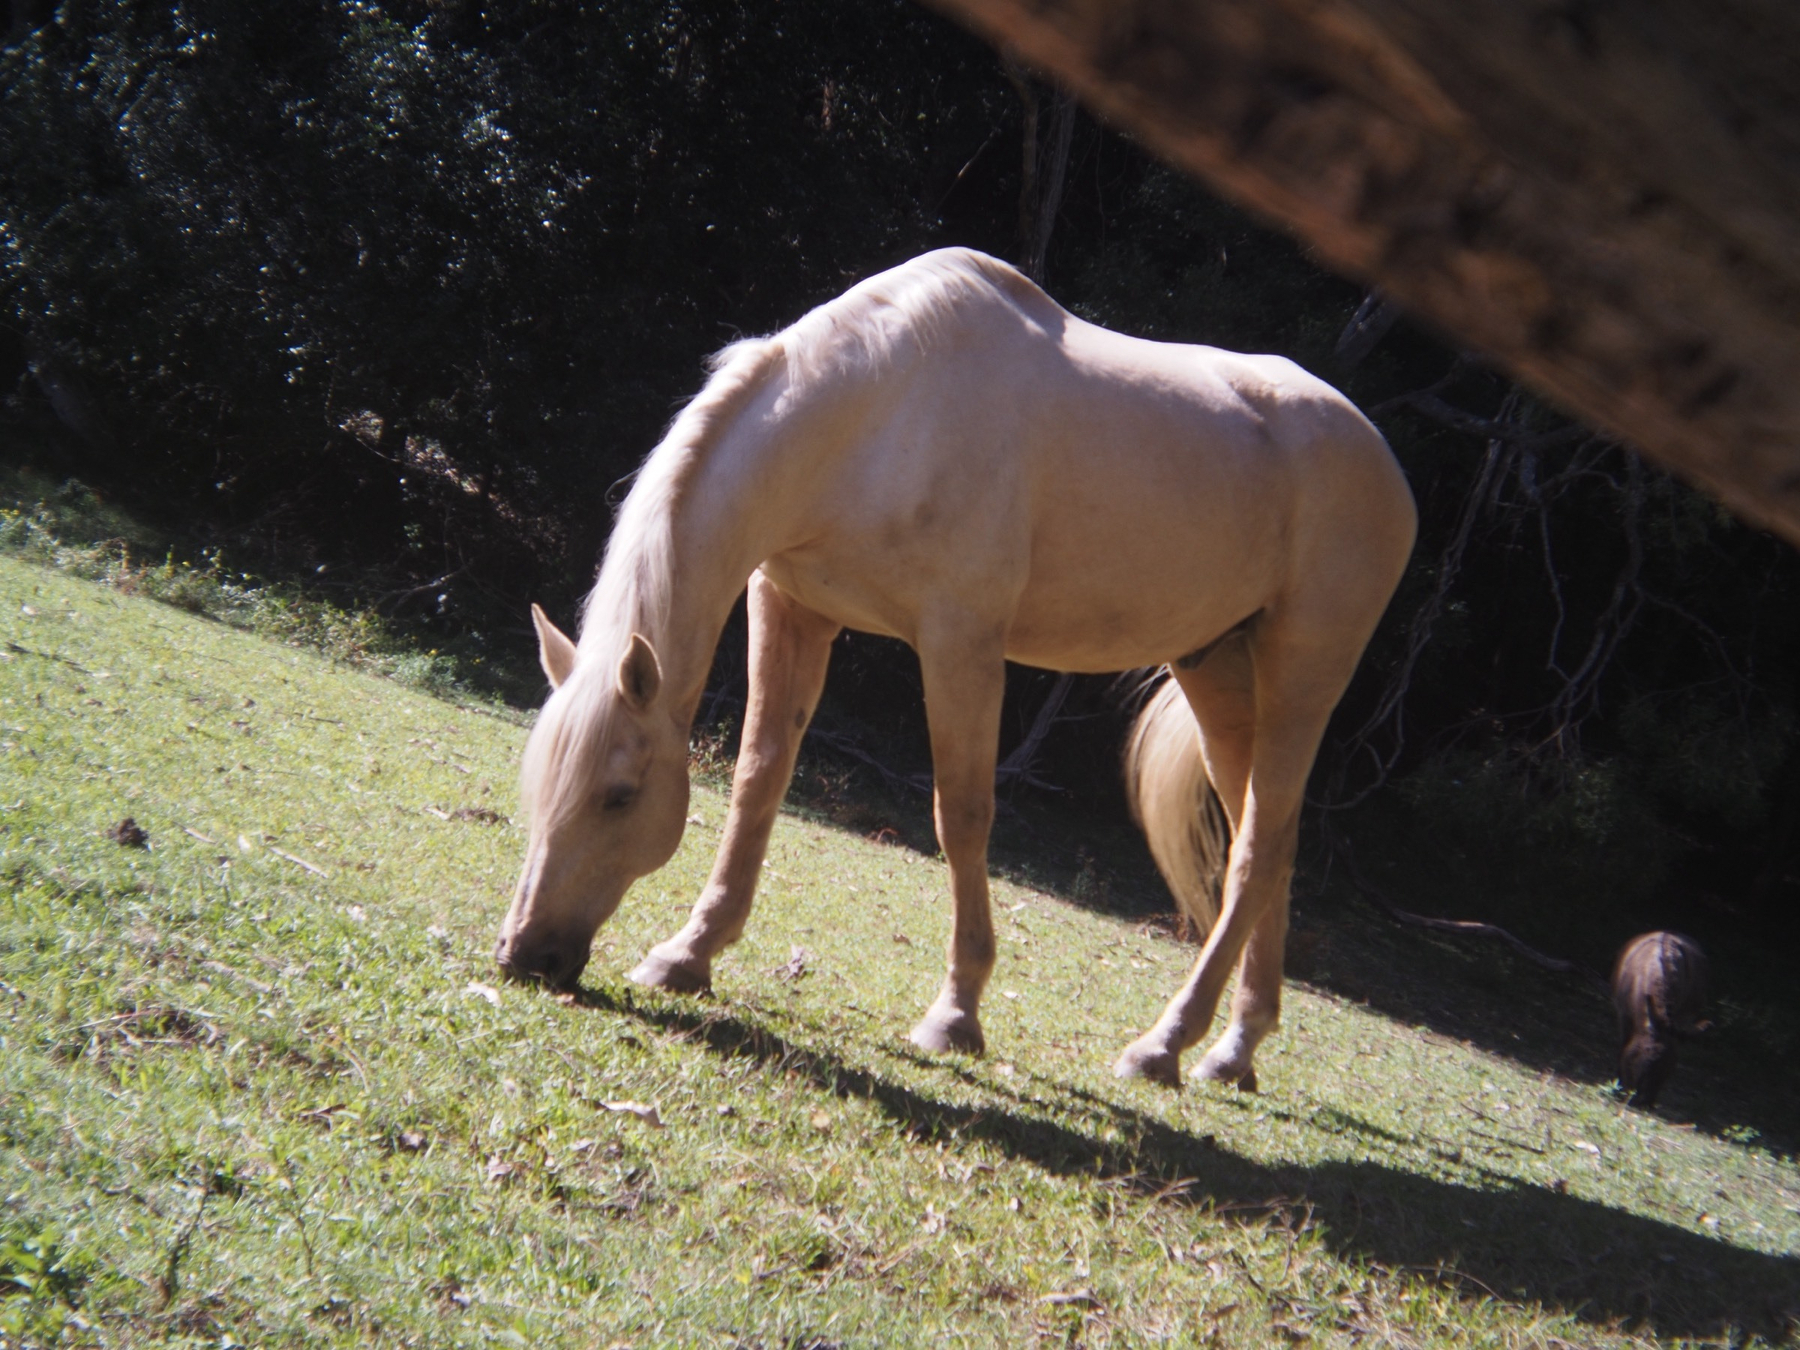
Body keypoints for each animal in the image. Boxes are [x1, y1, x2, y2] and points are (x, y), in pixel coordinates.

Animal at [495, 248, 1416, 1089]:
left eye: (618, 795)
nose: (523, 954)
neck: (878, 414)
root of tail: (1388, 471)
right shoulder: (792, 608)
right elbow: (759, 778)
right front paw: (688, 954)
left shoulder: (960, 645)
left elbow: (962, 817)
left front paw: (956, 1015)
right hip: (1218, 674)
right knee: (1270, 844)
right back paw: (1235, 1049)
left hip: (1301, 676)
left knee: (1257, 849)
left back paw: (1165, 1045)